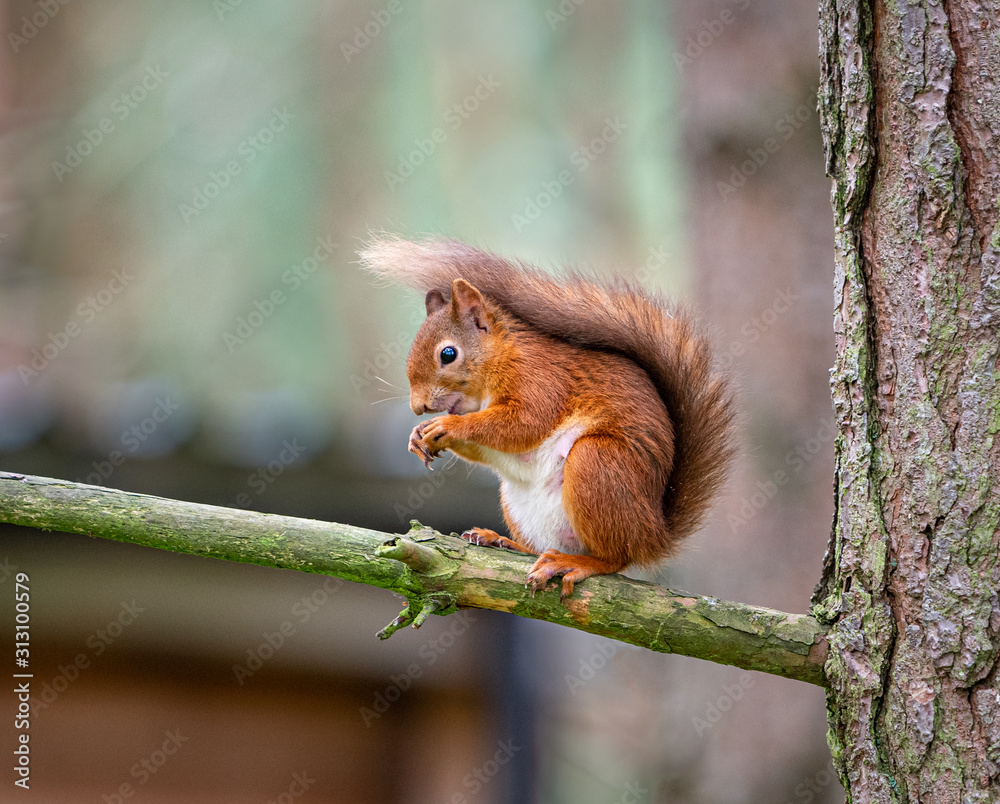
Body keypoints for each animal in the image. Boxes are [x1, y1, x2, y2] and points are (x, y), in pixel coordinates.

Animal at [361, 236, 735, 599]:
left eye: (448, 354)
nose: (418, 406)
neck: (501, 356)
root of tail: (653, 534)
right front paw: (418, 435)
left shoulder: (540, 380)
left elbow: (523, 424)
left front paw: (447, 426)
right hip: (517, 503)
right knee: (540, 546)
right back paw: (502, 541)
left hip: (596, 464)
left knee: (614, 557)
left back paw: (574, 563)